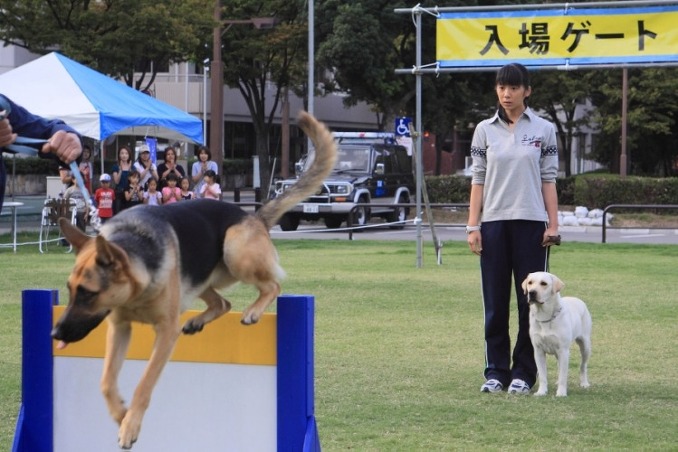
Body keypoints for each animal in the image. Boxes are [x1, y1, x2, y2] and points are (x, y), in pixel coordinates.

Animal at [51, 111, 338, 446]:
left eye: (88, 293)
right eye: (70, 290)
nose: (55, 334)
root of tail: (254, 216)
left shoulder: (165, 333)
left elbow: (144, 382)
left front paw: (131, 424)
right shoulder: (119, 328)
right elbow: (106, 381)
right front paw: (121, 413)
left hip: (234, 250)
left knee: (272, 284)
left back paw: (253, 311)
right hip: (200, 275)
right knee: (223, 303)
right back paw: (198, 320)